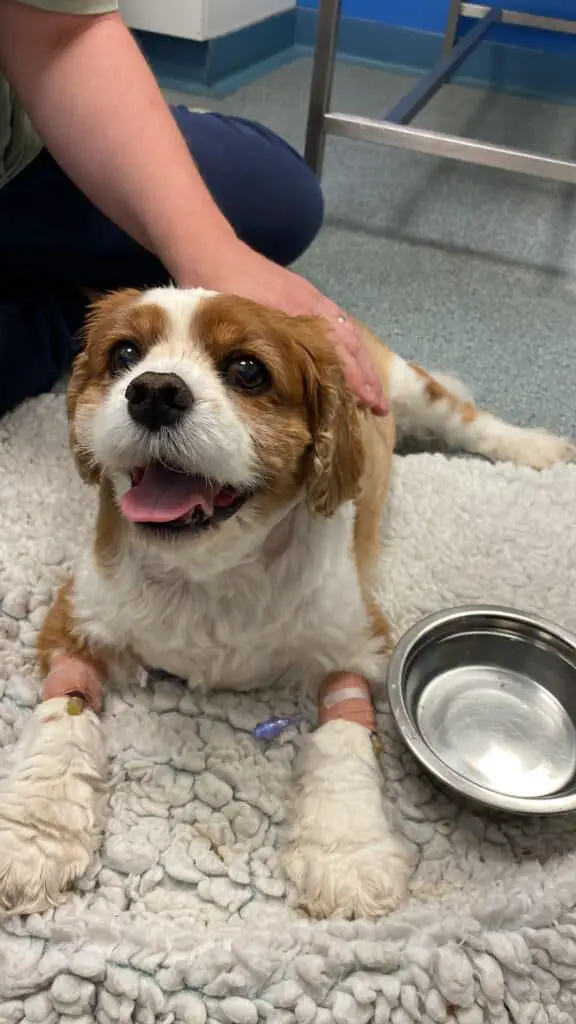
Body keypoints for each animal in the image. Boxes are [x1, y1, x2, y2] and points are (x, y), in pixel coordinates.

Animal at [0, 286, 569, 921]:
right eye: (124, 353)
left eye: (248, 370)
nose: (153, 391)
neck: (212, 572)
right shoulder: (74, 620)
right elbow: (62, 720)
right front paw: (34, 834)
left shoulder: (356, 641)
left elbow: (344, 741)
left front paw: (347, 852)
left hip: (408, 387)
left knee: (467, 420)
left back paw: (534, 447)